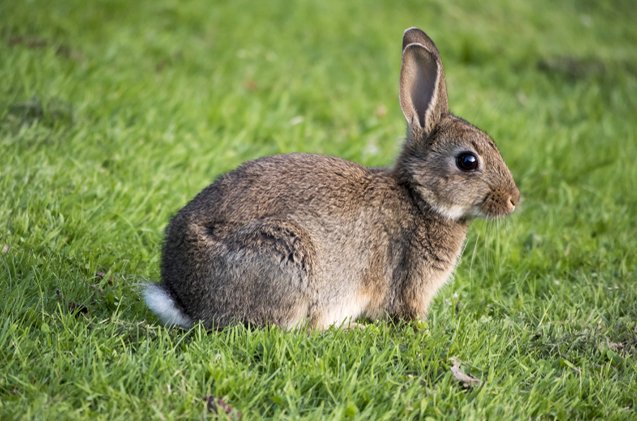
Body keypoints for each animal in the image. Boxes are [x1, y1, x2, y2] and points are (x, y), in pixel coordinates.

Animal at [143, 27, 516, 330]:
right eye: (468, 161)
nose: (514, 200)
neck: (419, 197)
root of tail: (184, 298)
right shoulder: (408, 277)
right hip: (287, 258)